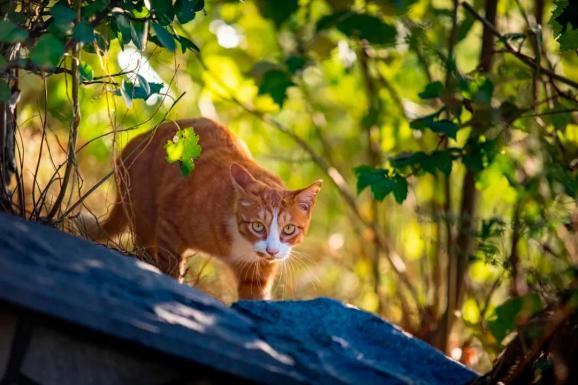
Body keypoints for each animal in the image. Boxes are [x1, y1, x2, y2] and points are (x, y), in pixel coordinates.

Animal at [82, 117, 320, 300]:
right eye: (257, 226)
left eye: (289, 229)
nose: (272, 251)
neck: (240, 246)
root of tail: (139, 139)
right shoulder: (171, 226)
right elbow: (170, 268)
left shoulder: (257, 276)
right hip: (144, 211)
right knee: (145, 247)